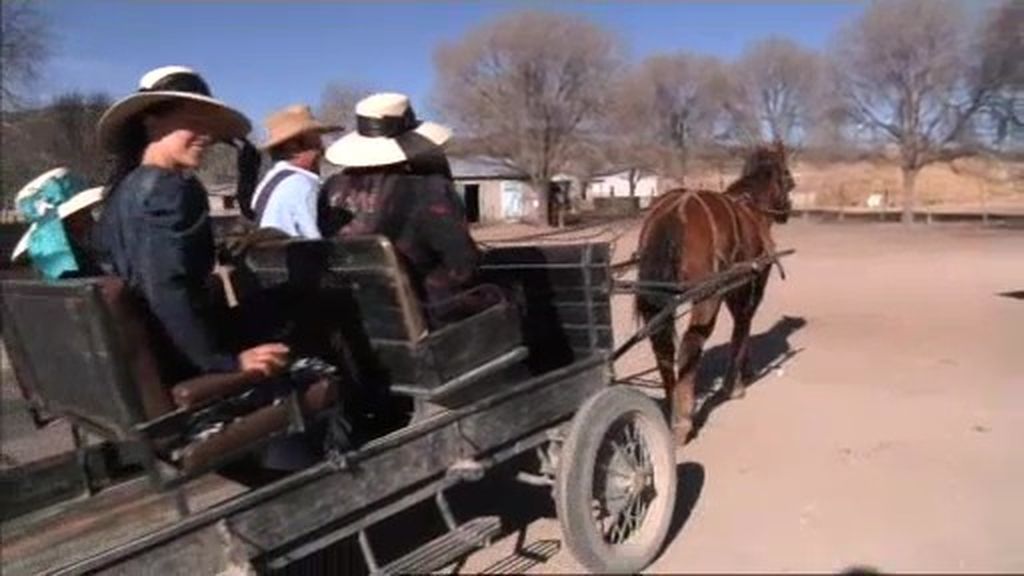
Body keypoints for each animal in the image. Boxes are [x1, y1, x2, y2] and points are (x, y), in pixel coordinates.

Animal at [634, 141, 794, 440]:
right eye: (788, 177)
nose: (787, 210)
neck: (751, 209)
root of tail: (675, 209)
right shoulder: (752, 282)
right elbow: (743, 326)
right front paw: (736, 384)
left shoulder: (733, 287)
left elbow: (741, 327)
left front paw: (743, 371)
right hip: (707, 296)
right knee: (689, 345)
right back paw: (683, 421)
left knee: (662, 347)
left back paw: (672, 405)